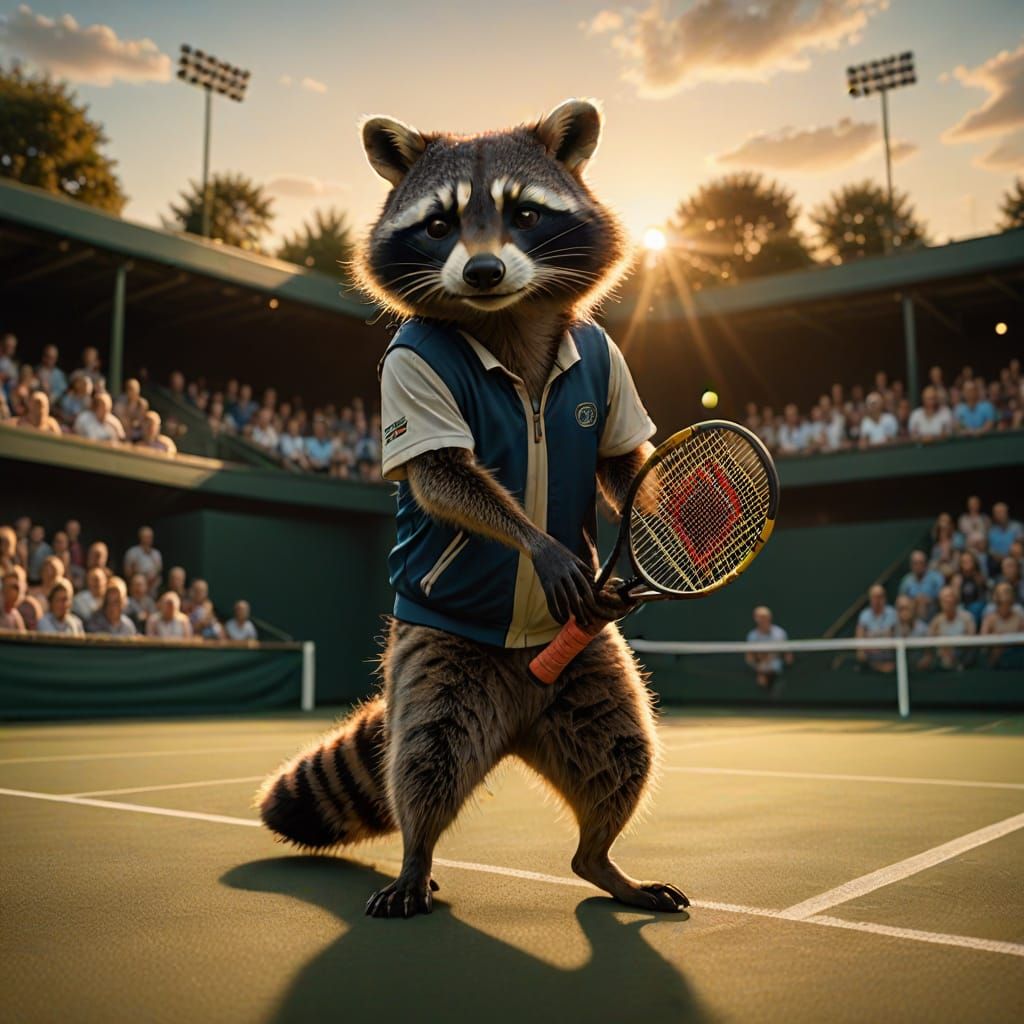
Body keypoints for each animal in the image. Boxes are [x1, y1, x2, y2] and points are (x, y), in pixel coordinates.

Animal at [257, 100, 688, 919]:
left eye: (525, 213)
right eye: (438, 224)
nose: (483, 270)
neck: (508, 319)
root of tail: (520, 714)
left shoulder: (608, 360)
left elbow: (621, 460)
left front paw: (661, 517)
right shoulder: (406, 369)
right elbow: (444, 474)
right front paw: (537, 543)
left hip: (586, 672)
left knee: (622, 752)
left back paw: (601, 859)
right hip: (441, 664)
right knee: (427, 756)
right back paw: (417, 857)